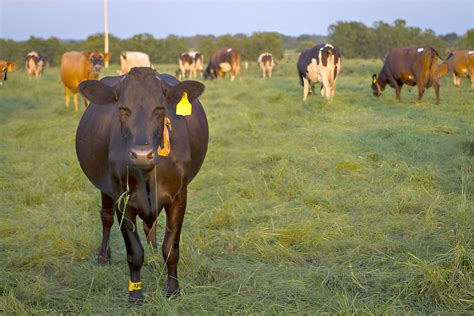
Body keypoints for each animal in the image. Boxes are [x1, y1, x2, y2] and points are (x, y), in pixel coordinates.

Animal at [76, 67, 207, 304]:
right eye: (122, 109)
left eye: (160, 108)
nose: (142, 154)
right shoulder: (122, 198)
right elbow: (134, 252)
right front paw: (135, 294)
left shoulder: (179, 196)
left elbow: (171, 248)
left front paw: (173, 290)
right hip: (105, 189)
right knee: (106, 218)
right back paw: (103, 257)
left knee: (150, 227)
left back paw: (155, 259)